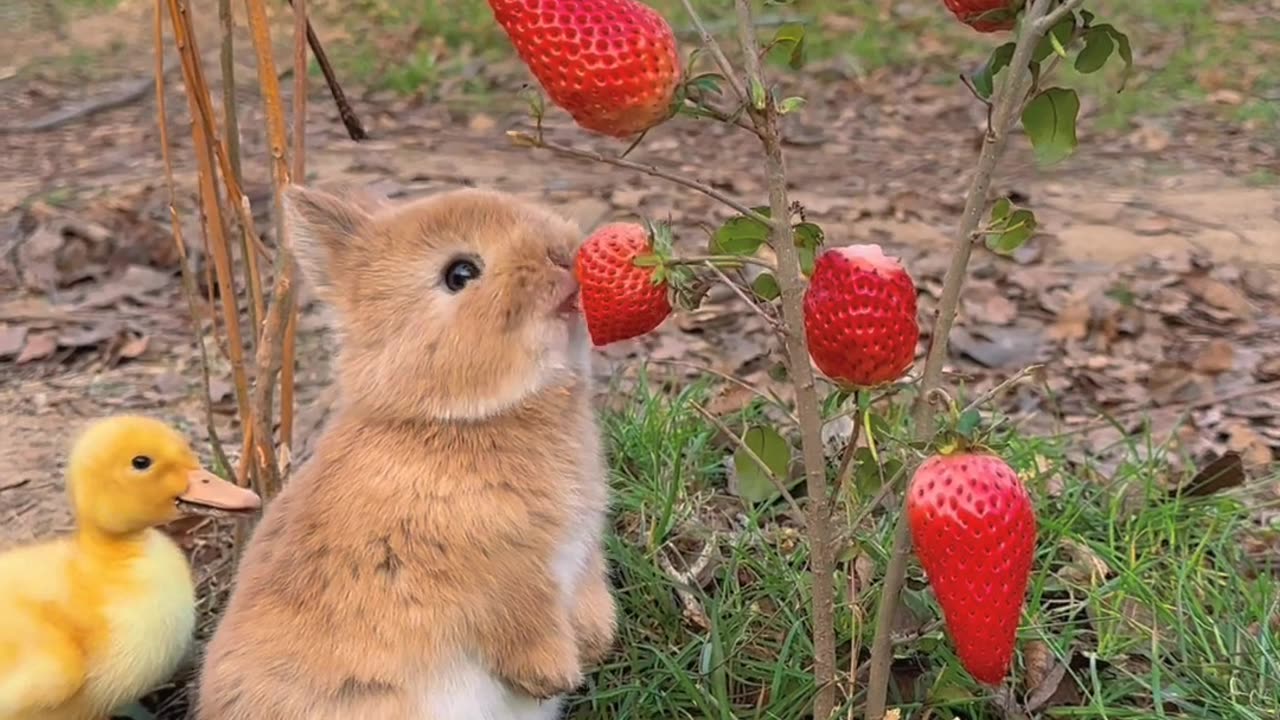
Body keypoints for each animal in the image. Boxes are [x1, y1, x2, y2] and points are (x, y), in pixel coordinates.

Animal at [194, 185, 619, 717]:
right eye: (460, 274)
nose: (563, 254)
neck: (449, 419)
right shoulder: (495, 576)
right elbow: (521, 620)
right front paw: (553, 675)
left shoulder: (582, 550)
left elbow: (588, 588)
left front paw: (597, 642)